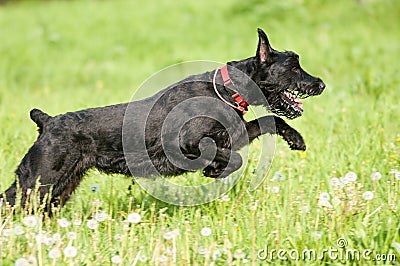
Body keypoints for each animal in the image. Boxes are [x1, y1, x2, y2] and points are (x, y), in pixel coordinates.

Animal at [0, 28, 324, 208]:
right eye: (294, 67)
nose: (320, 84)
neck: (225, 89)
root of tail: (47, 121)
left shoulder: (232, 132)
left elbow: (269, 124)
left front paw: (297, 139)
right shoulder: (187, 143)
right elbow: (233, 157)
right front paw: (215, 170)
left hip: (60, 187)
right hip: (37, 180)